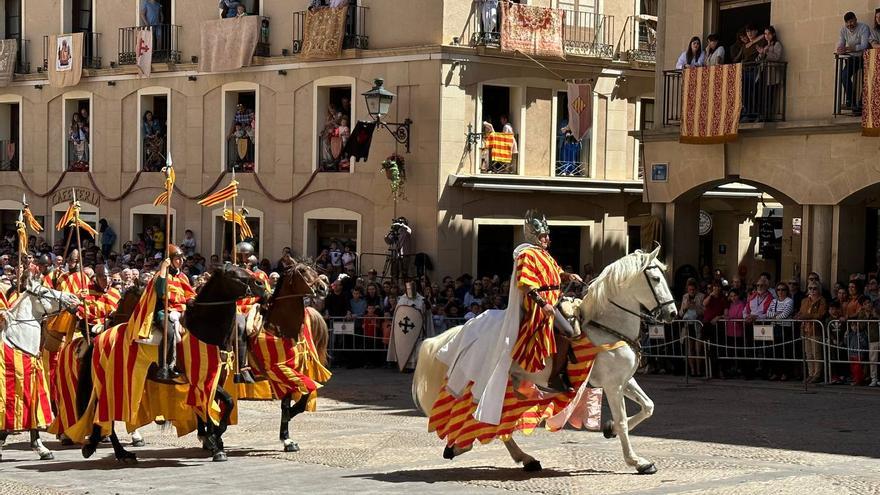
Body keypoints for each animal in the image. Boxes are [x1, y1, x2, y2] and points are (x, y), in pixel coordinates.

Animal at [0, 280, 81, 462]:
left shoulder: (31, 387)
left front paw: (42, 449)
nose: (73, 298)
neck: (17, 345)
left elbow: (32, 417)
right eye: (44, 292)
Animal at [78, 266, 264, 464]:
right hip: (113, 384)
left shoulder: (215, 379)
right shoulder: (200, 380)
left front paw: (215, 441)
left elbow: (218, 406)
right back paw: (119, 452)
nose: (260, 283)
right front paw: (214, 442)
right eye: (233, 274)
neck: (205, 330)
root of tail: (99, 337)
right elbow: (223, 403)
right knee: (105, 415)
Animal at [416, 250, 676, 474]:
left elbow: (648, 406)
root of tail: (464, 328)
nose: (672, 313)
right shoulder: (613, 385)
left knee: (501, 423)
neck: (606, 328)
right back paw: (463, 447)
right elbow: (623, 421)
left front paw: (609, 429)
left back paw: (522, 458)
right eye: (655, 278)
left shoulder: (624, 380)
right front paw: (638, 461)